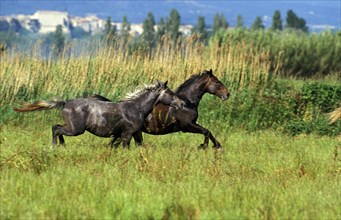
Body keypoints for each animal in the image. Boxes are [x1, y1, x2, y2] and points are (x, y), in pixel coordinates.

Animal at [13, 81, 183, 148]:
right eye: (170, 92)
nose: (181, 104)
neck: (136, 108)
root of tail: (65, 102)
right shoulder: (127, 134)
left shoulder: (130, 133)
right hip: (76, 129)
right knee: (56, 128)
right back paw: (55, 146)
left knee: (56, 128)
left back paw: (61, 145)